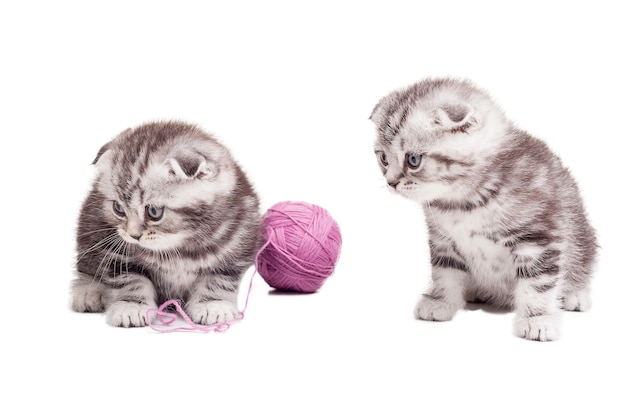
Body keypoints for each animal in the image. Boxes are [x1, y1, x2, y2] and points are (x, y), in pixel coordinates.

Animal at [69, 119, 260, 324]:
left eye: (154, 212)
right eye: (118, 208)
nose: (133, 235)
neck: (180, 247)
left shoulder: (238, 244)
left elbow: (219, 279)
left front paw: (212, 304)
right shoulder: (116, 251)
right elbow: (131, 279)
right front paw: (132, 306)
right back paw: (89, 292)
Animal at [368, 79, 596, 342]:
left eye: (413, 160)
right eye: (383, 158)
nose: (391, 182)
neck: (462, 202)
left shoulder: (539, 236)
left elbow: (538, 281)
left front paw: (537, 319)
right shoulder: (443, 240)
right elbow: (445, 272)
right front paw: (441, 301)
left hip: (582, 238)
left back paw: (574, 294)